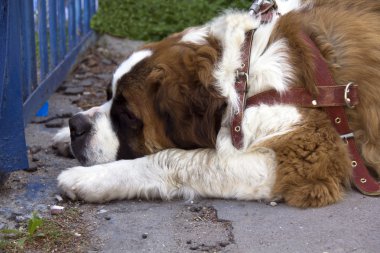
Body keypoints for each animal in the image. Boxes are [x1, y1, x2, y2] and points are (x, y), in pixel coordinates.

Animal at [53, 0, 380, 208]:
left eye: (128, 115)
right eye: (108, 95)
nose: (75, 126)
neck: (241, 76)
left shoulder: (303, 155)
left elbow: (174, 160)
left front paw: (87, 179)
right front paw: (62, 136)